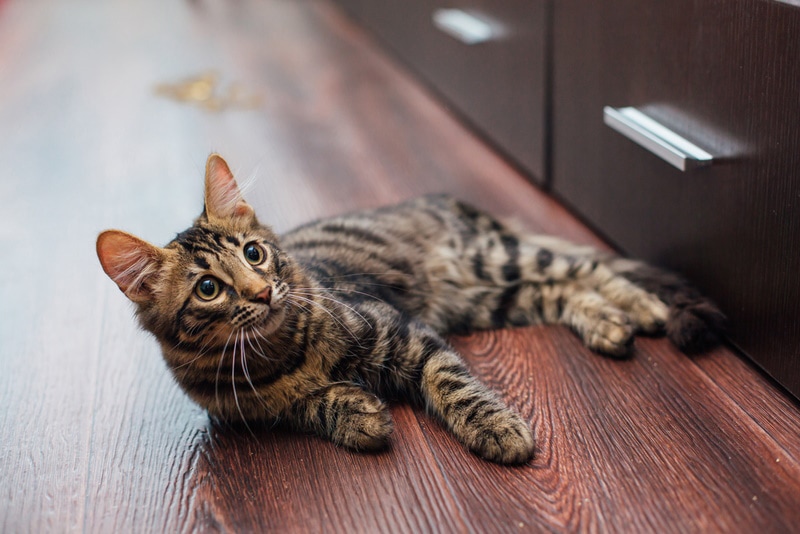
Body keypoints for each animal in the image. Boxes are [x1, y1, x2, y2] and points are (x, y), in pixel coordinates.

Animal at [95, 154, 724, 464]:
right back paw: (608, 323)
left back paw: (641, 308)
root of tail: (445, 199)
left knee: (587, 269)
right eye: (208, 289)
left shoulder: (404, 333)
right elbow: (308, 405)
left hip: (492, 261)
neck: (279, 352)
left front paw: (498, 429)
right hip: (489, 298)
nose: (261, 292)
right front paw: (358, 413)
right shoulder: (249, 411)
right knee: (562, 290)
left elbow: (456, 387)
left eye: (254, 253)